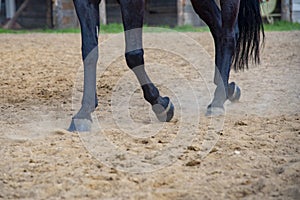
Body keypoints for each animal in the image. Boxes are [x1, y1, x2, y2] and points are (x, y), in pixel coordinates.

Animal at [67, 0, 262, 132]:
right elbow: (89, 53)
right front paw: (84, 114)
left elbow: (133, 55)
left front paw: (161, 105)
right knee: (220, 29)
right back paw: (228, 89)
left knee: (228, 34)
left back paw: (217, 102)